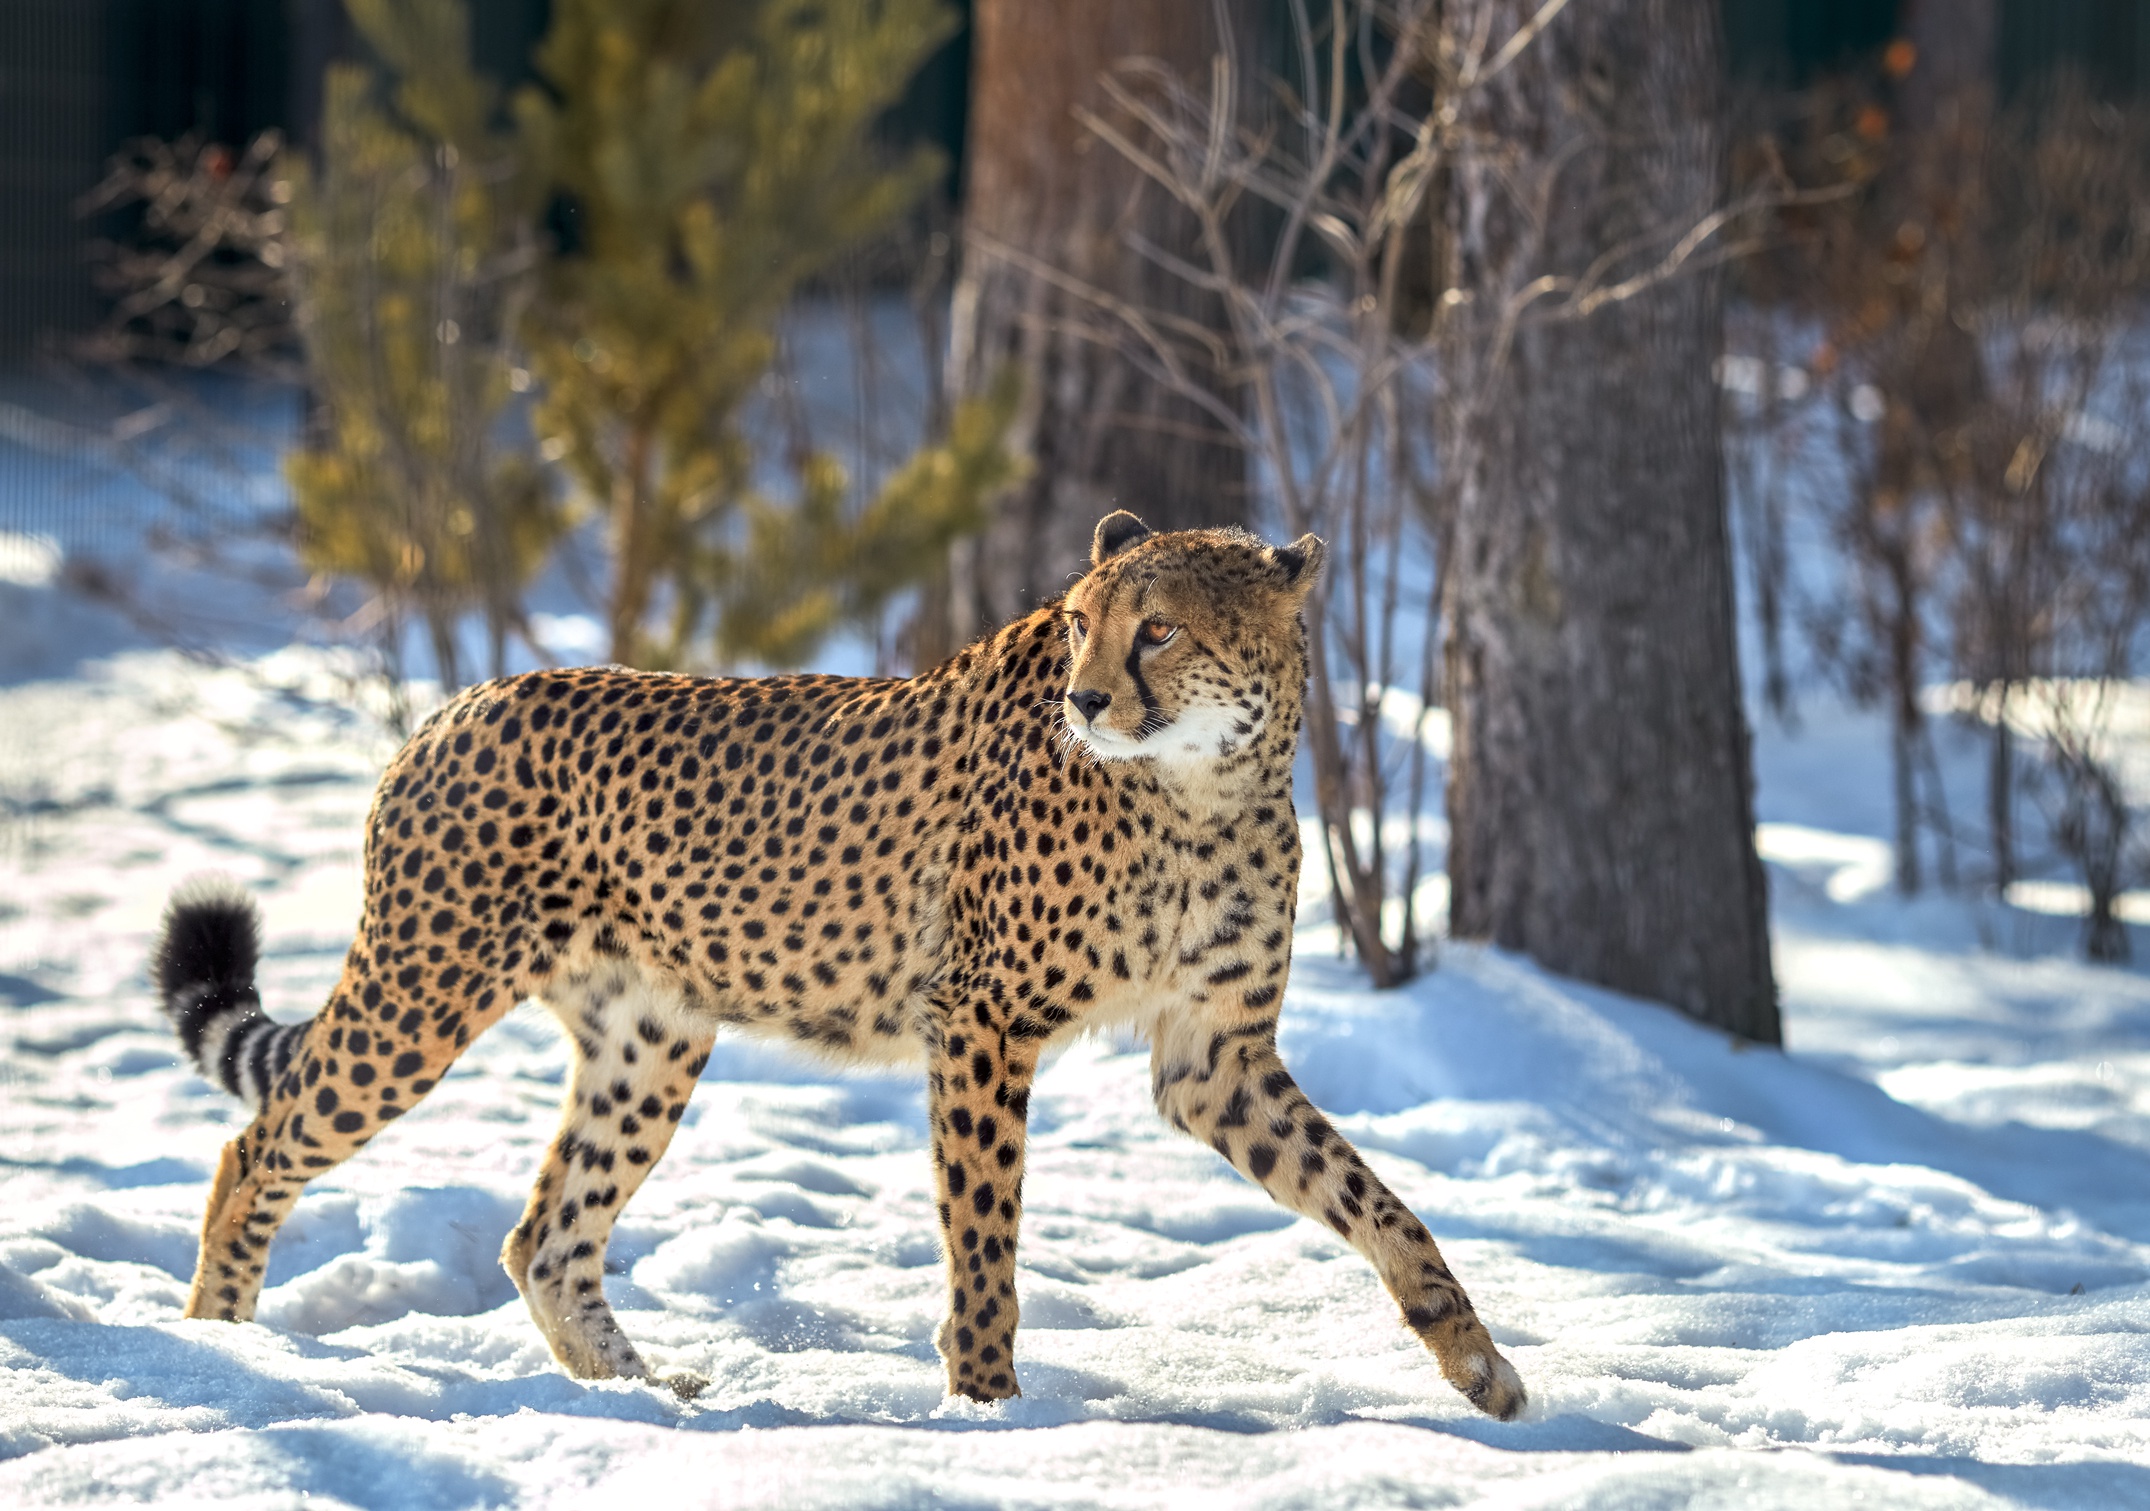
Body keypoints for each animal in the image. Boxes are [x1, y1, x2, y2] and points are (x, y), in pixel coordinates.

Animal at [151, 513, 1530, 1427]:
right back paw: (224, 1352)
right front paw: (992, 1409)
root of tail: (454, 705)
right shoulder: (981, 1021)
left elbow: (1373, 1198)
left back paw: (651, 1396)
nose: (1084, 700)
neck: (1198, 786)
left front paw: (1473, 1357)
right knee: (255, 1146)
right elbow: (985, 1240)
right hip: (423, 996)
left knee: (545, 1233)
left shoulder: (1214, 1058)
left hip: (653, 1037)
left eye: (1159, 629)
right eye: (1078, 624)